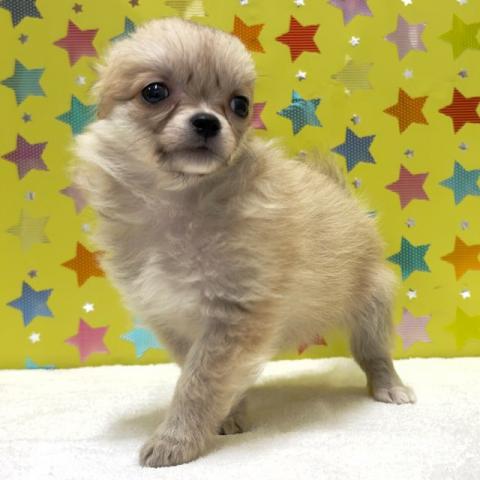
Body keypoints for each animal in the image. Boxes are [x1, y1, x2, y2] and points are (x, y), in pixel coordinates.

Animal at [72, 17, 415, 468]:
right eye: (154, 92)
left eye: (238, 105)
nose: (207, 121)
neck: (182, 202)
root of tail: (345, 198)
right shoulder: (174, 320)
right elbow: (200, 374)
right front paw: (229, 416)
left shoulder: (234, 315)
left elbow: (198, 383)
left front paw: (176, 440)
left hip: (371, 306)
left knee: (374, 353)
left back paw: (389, 386)